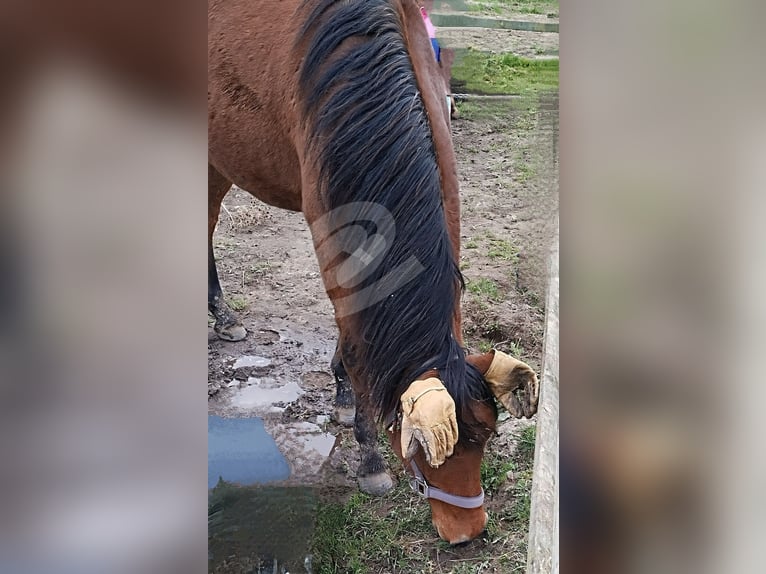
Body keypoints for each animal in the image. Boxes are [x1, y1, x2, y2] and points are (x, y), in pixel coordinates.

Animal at [207, 0, 536, 544]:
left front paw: (341, 394)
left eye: (488, 435)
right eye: (421, 449)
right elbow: (356, 337)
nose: (467, 533)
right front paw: (369, 456)